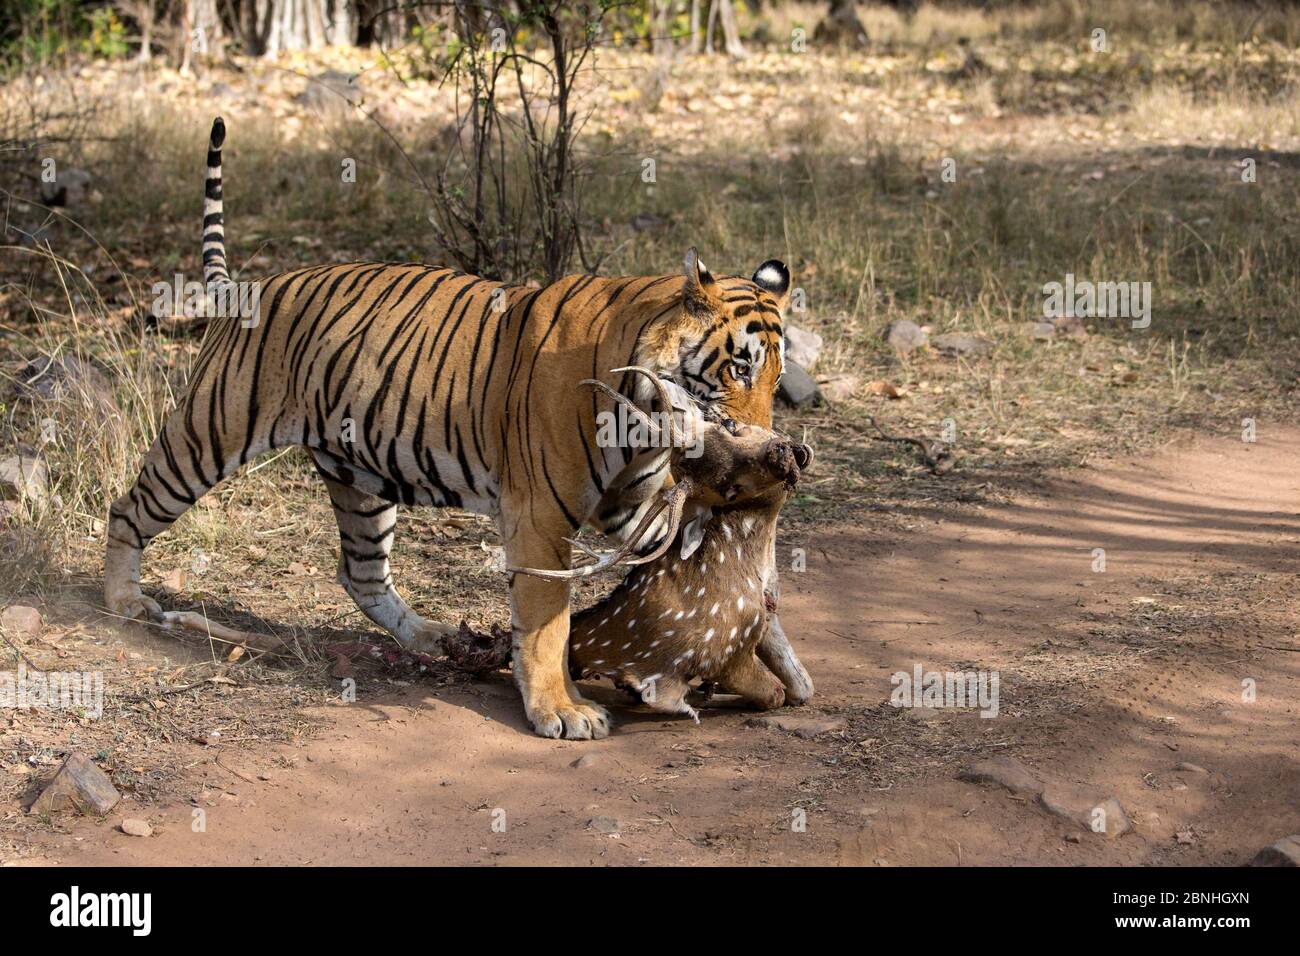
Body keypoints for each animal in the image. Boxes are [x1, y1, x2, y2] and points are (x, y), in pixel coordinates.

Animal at [106, 117, 790, 738]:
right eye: (738, 367)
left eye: (778, 377)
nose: (773, 444)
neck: (642, 416)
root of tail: (245, 289)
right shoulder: (539, 516)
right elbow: (548, 621)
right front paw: (561, 711)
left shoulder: (631, 507)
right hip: (206, 435)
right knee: (128, 507)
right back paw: (122, 601)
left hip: (361, 478)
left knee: (360, 573)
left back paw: (428, 635)